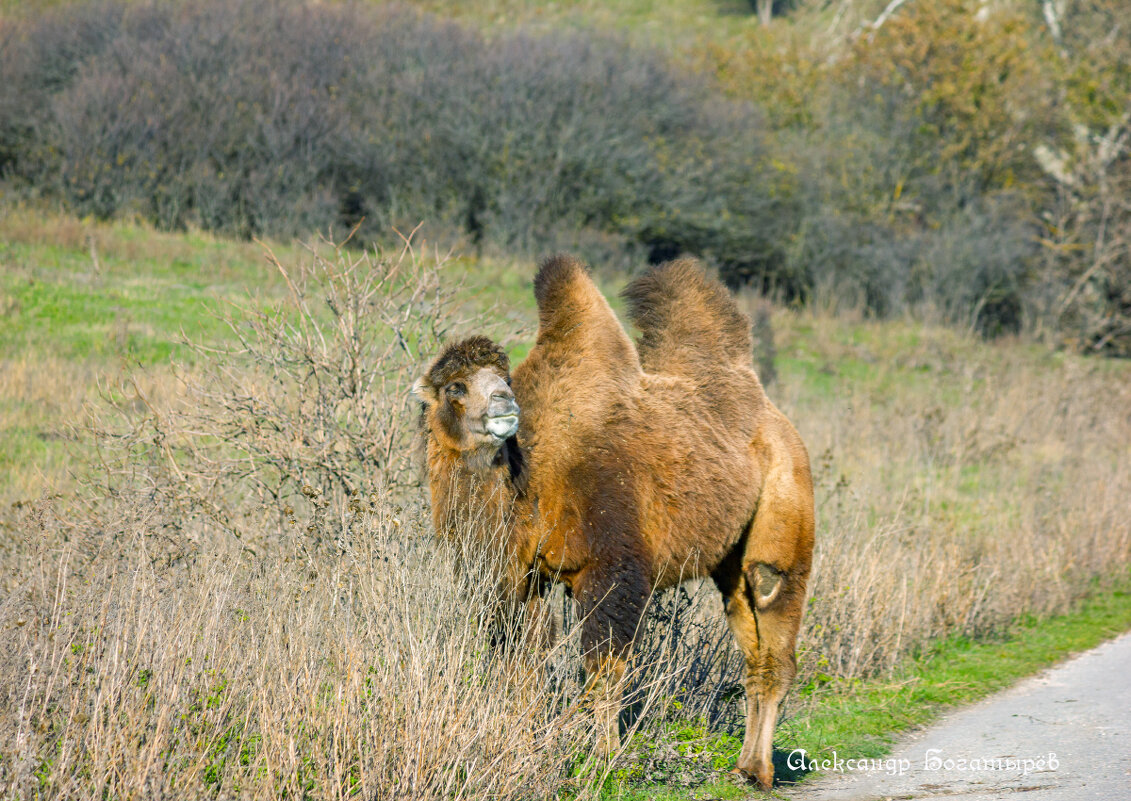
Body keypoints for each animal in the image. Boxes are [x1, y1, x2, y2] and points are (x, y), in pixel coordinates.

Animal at [413, 257, 814, 787]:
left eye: (503, 379)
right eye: (455, 387)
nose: (502, 403)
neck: (532, 478)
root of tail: (774, 417)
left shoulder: (611, 567)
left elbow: (604, 668)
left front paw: (601, 760)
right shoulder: (521, 576)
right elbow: (524, 659)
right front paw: (521, 744)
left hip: (785, 507)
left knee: (774, 628)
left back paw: (757, 770)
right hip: (730, 561)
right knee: (751, 640)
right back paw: (747, 766)